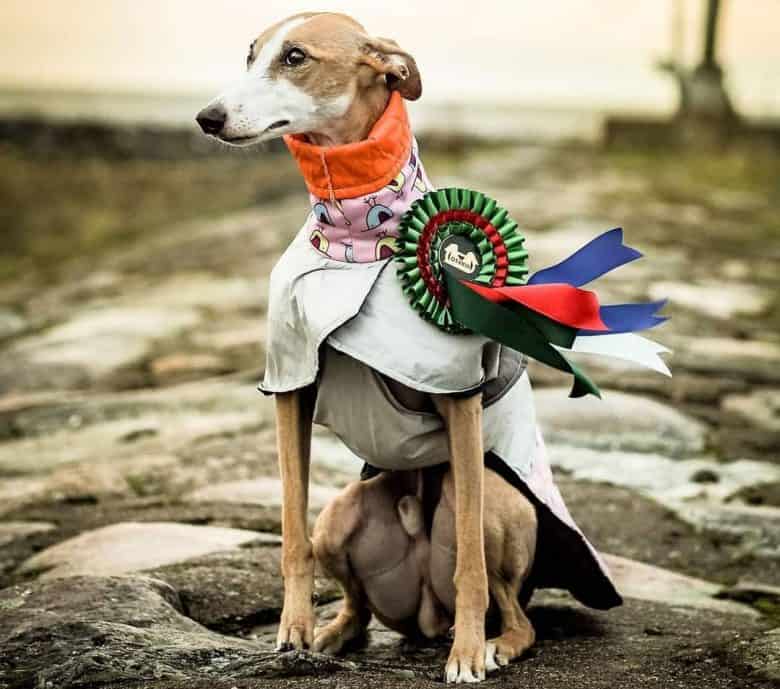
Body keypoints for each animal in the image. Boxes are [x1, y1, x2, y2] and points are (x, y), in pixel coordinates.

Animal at [197, 12, 620, 684]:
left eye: (295, 57)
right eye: (250, 55)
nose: (207, 118)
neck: (359, 240)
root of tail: (424, 617)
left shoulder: (460, 399)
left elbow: (470, 562)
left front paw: (468, 655)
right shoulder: (291, 386)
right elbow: (289, 533)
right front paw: (292, 630)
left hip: (499, 504)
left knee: (515, 611)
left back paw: (492, 644)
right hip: (340, 515)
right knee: (357, 606)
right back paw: (330, 634)